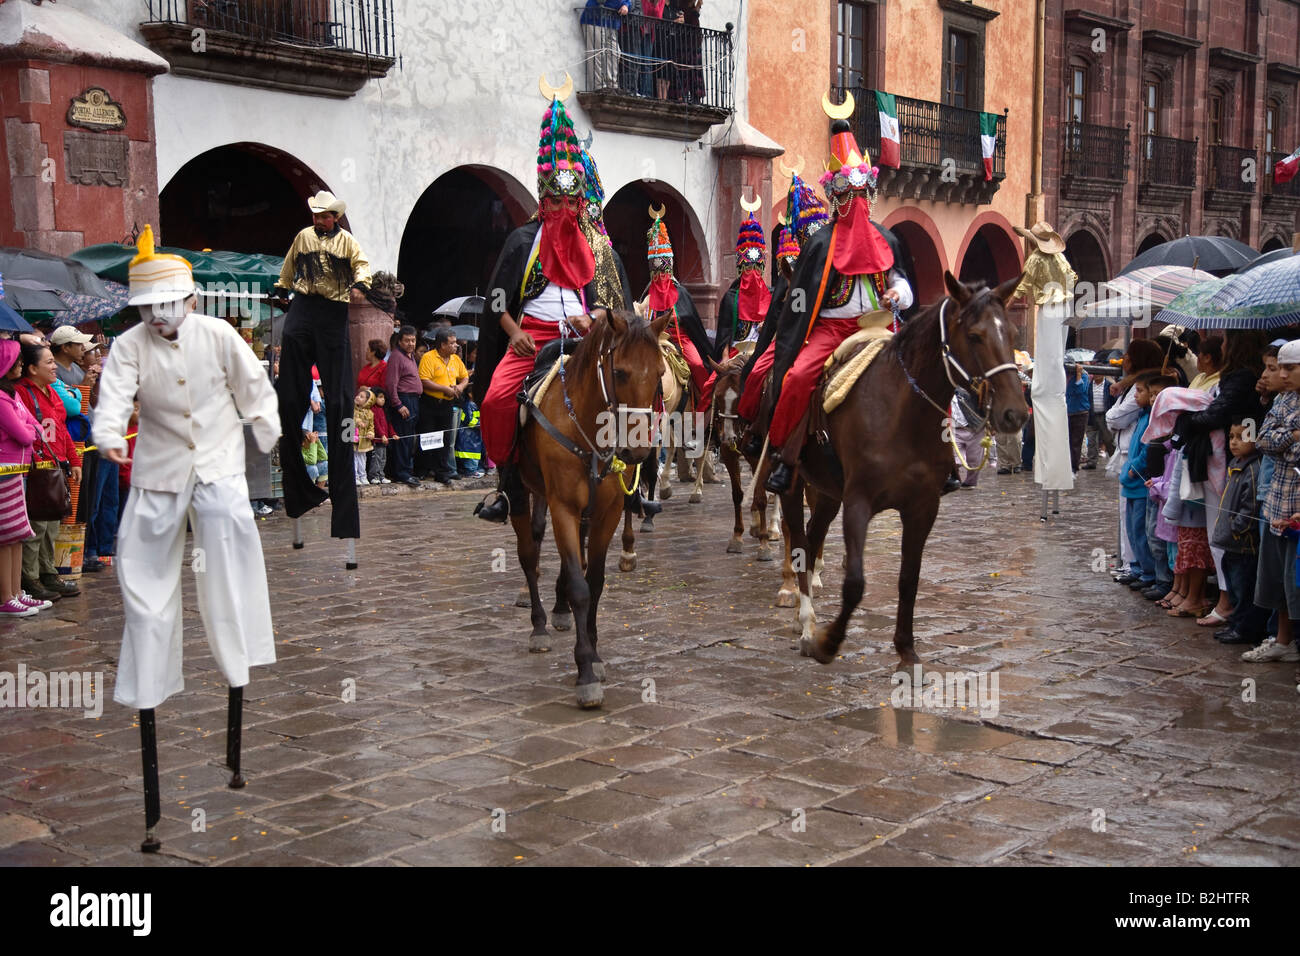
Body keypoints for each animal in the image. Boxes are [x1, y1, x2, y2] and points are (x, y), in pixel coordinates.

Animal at [512, 310, 670, 707]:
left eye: (660, 373)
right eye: (621, 372)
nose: (638, 451)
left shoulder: (607, 511)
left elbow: (594, 582)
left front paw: (595, 656)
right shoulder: (564, 507)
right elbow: (580, 587)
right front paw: (584, 671)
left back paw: (559, 609)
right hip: (524, 491)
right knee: (528, 552)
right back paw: (539, 624)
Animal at [780, 270, 1024, 665]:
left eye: (1014, 334)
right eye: (974, 335)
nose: (1015, 413)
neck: (903, 413)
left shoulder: (922, 506)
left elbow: (909, 578)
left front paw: (906, 650)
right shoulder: (858, 502)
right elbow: (855, 582)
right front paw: (829, 642)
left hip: (828, 491)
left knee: (813, 538)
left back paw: (809, 615)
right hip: (791, 484)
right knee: (799, 543)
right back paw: (805, 623)